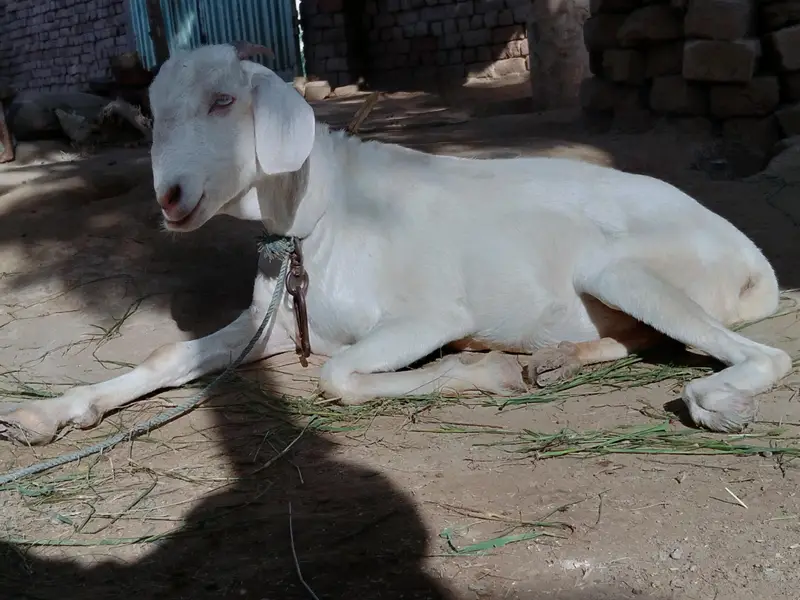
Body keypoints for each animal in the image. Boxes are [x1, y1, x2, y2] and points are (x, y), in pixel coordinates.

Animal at [0, 42, 792, 446]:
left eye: (224, 102)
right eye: (156, 112)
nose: (170, 197)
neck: (321, 217)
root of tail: (755, 262)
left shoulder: (429, 316)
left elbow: (338, 375)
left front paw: (484, 374)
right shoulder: (275, 325)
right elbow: (169, 355)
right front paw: (49, 413)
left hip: (627, 271)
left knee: (757, 354)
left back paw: (716, 401)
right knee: (641, 338)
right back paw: (556, 359)